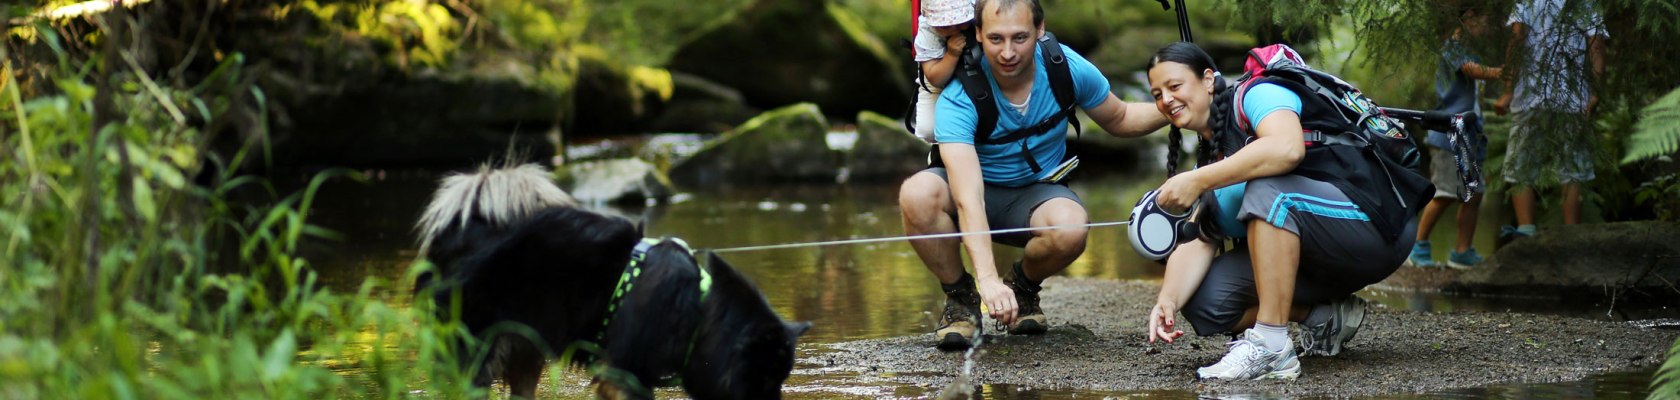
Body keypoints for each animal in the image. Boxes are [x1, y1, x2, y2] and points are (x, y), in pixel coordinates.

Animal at [418, 163, 813, 398]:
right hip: (473, 346)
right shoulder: (624, 372)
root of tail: (464, 222)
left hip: (525, 347)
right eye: (766, 377)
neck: (697, 314)